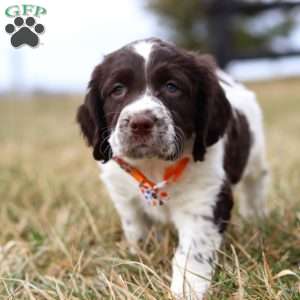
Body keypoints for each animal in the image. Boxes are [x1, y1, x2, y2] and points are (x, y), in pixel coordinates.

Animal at [76, 38, 268, 300]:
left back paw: (255, 217)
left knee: (255, 185)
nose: (141, 123)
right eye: (117, 90)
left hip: (255, 157)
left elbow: (192, 252)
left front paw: (187, 288)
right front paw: (140, 256)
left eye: (172, 87)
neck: (154, 166)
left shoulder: (205, 200)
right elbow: (135, 227)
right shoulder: (123, 195)